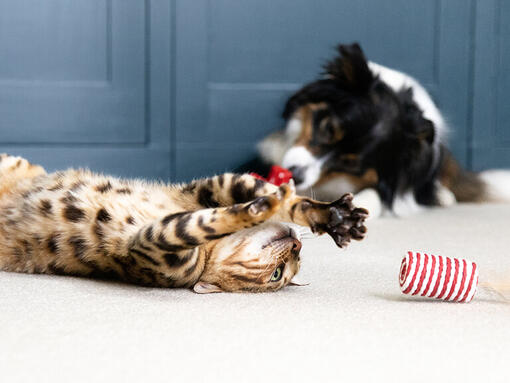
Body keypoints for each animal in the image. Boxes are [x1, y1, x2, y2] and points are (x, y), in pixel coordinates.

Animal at [0, 154, 368, 292]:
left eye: (279, 274)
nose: (297, 245)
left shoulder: (154, 245)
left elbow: (203, 222)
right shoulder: (208, 188)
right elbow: (265, 196)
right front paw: (330, 215)